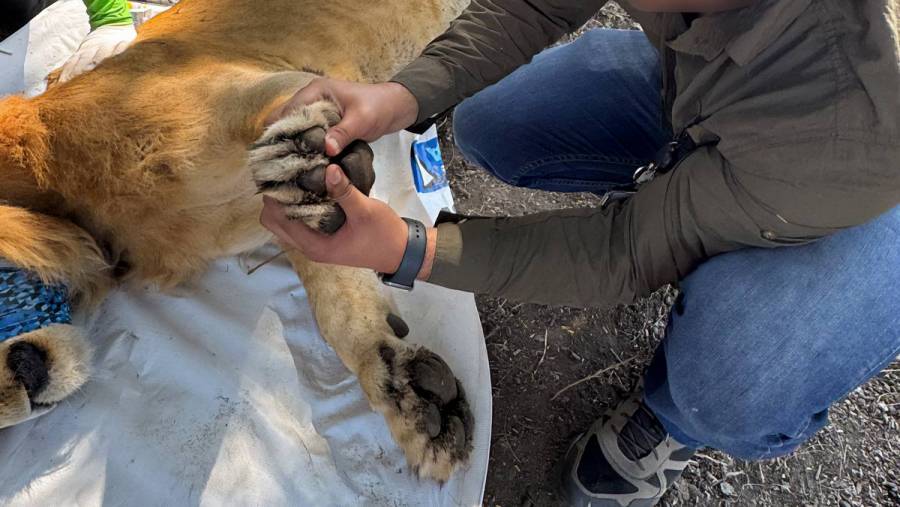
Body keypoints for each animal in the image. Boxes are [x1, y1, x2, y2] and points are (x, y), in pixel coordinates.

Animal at [0, 0, 472, 482]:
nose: (25, 390)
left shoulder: (269, 83)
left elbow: (293, 109)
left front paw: (298, 155)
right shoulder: (285, 223)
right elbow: (340, 297)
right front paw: (414, 395)